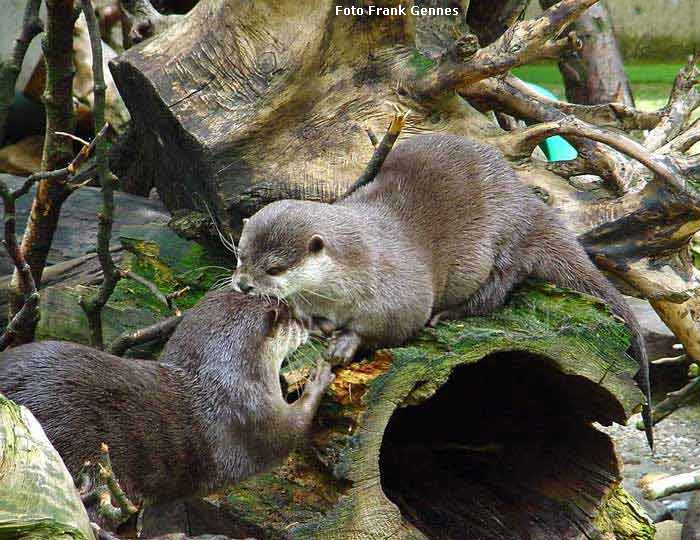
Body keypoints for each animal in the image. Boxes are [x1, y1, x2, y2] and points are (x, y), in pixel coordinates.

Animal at [0, 292, 334, 502]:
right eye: (296, 315)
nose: (314, 322)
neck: (226, 379)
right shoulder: (254, 416)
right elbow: (293, 428)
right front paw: (321, 372)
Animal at [232, 133, 652, 450]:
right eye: (241, 256)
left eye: (274, 268)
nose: (242, 284)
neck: (357, 263)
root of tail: (528, 204)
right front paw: (316, 327)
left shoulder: (399, 290)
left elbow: (392, 324)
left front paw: (345, 343)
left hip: (502, 243)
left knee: (499, 288)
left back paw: (450, 313)